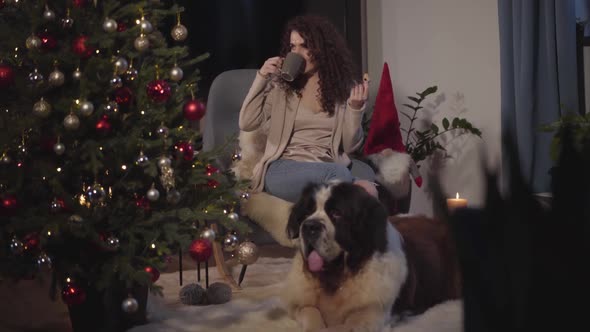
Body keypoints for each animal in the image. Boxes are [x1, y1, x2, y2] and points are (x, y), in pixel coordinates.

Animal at [282, 182, 462, 332]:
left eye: (336, 213)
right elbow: (310, 311)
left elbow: (341, 328)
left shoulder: (371, 314)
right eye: (307, 212)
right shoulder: (301, 303)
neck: (337, 278)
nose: (309, 226)